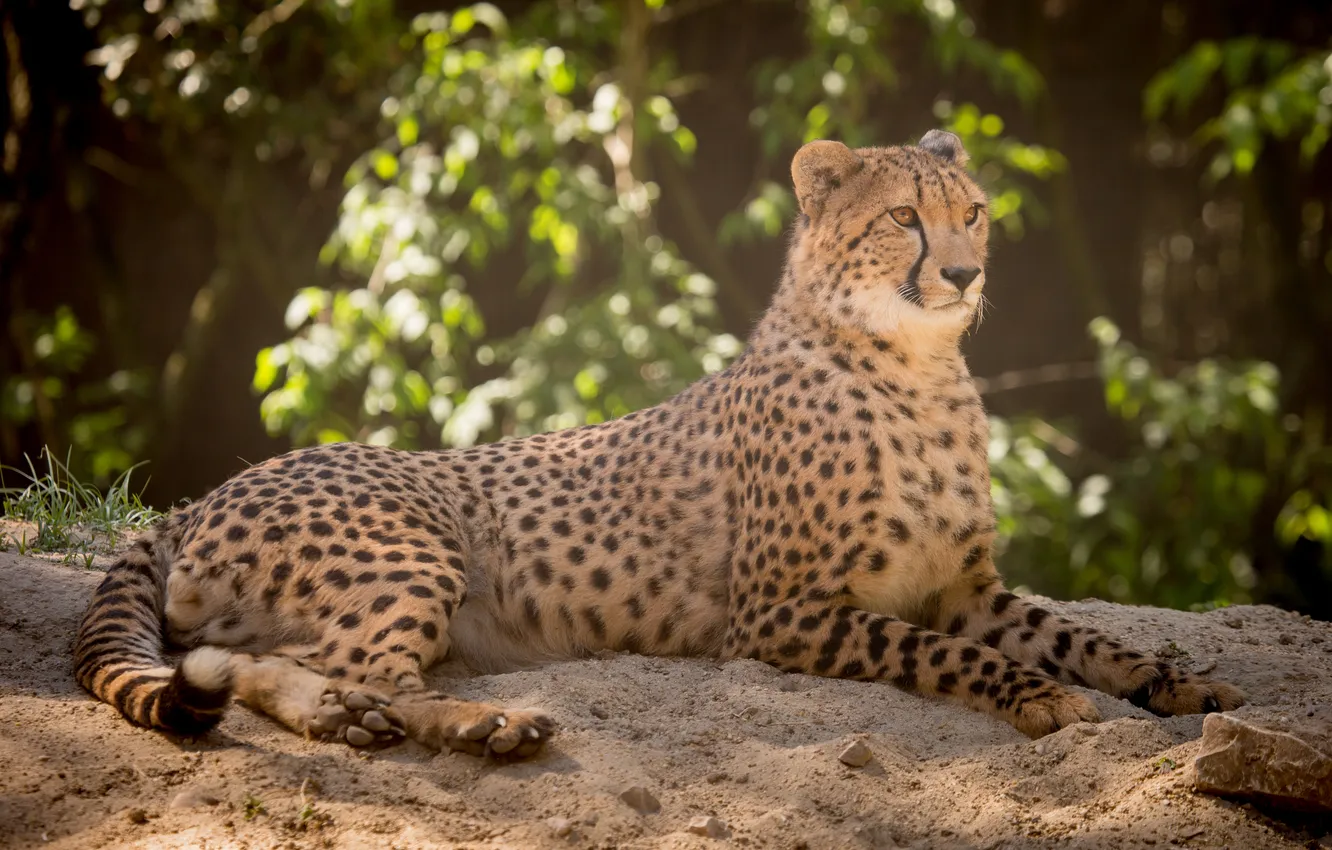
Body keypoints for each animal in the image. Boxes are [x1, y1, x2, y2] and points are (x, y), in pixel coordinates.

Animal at [74, 130, 1245, 760]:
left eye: (977, 214)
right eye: (905, 220)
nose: (963, 275)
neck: (917, 369)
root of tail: (205, 493)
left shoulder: (966, 586)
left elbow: (1086, 636)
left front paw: (1184, 687)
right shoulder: (779, 613)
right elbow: (950, 653)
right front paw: (1033, 697)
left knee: (251, 664)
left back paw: (361, 717)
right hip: (418, 547)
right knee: (346, 668)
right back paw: (481, 724)